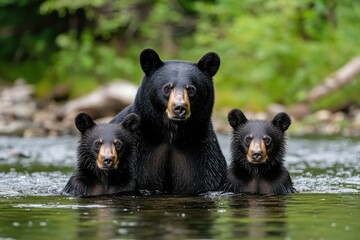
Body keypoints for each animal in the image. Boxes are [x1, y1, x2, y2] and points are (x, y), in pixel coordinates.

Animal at [111, 48, 226, 195]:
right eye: (167, 88)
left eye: (191, 89)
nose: (179, 107)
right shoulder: (136, 154)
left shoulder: (202, 154)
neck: (171, 133)